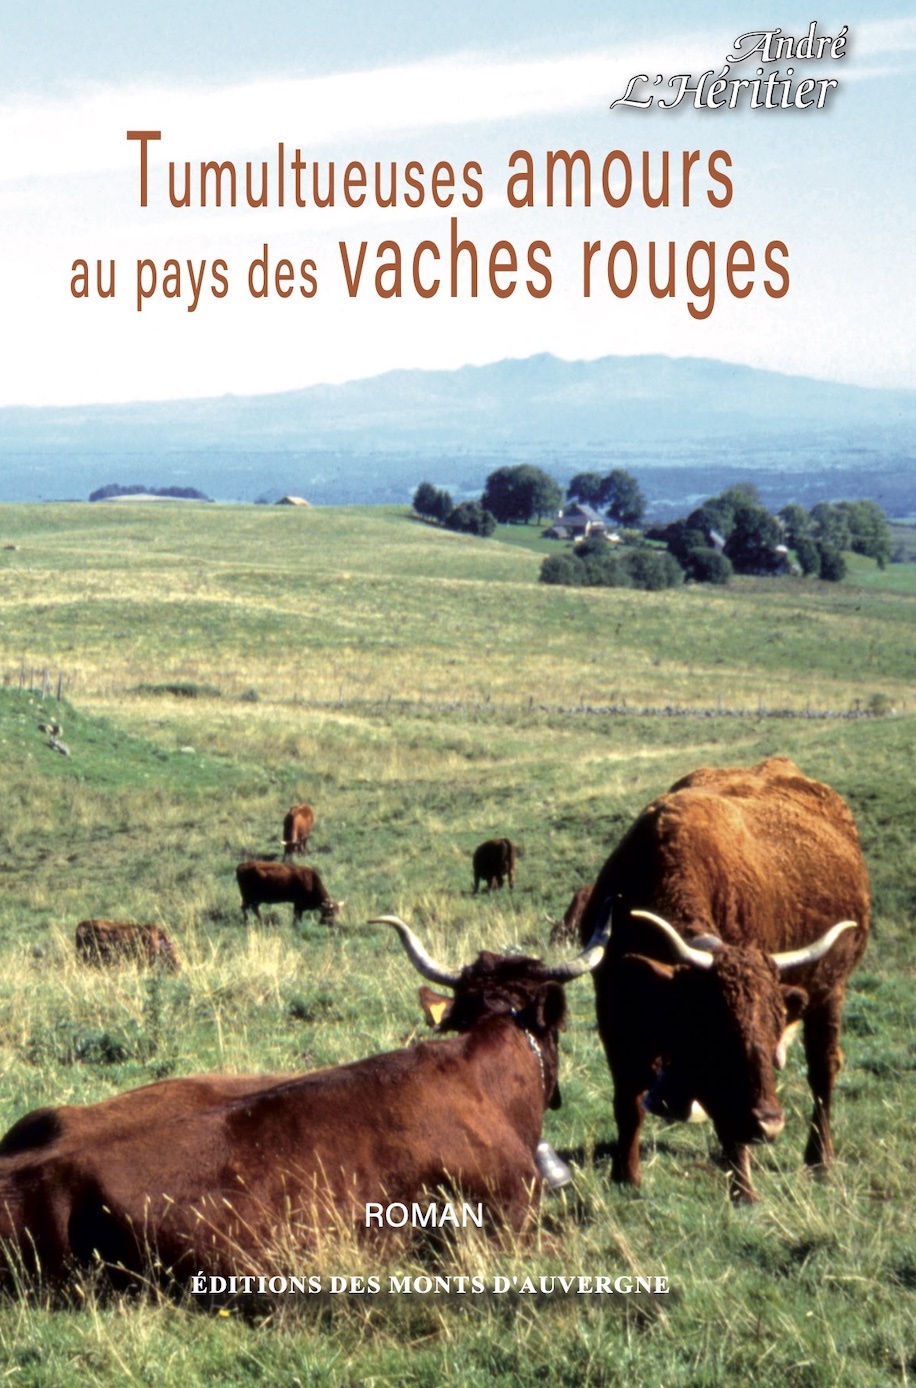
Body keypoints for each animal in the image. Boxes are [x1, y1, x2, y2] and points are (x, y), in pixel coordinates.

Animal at [577, 758, 870, 1202]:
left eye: (771, 1028)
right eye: (717, 1030)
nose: (769, 1124)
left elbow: (729, 1125)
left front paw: (744, 1191)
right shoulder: (614, 1018)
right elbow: (627, 1101)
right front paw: (625, 1177)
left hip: (830, 993)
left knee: (823, 1070)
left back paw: (819, 1159)